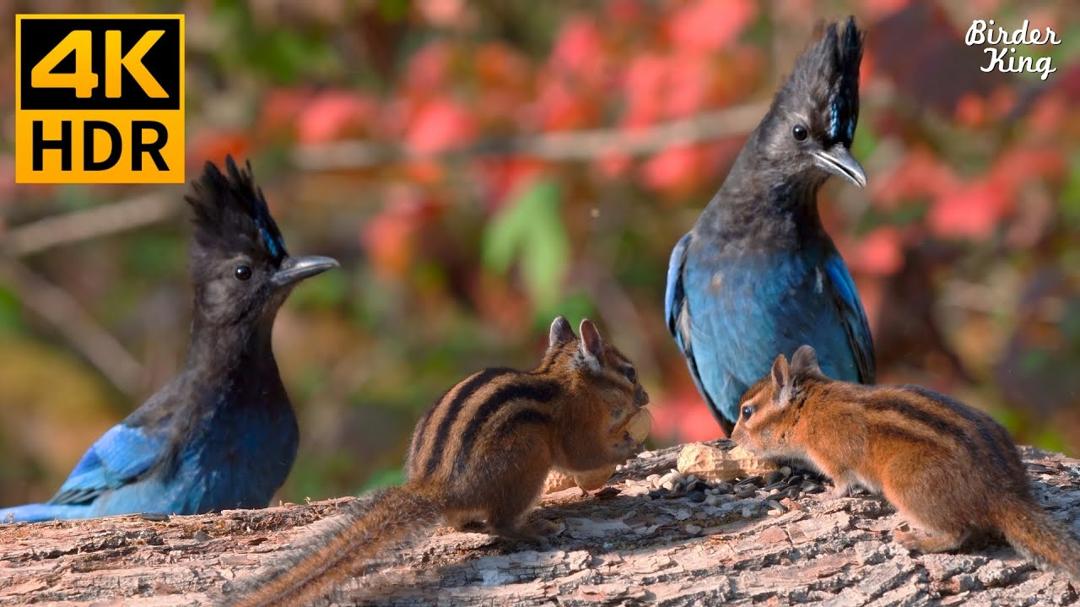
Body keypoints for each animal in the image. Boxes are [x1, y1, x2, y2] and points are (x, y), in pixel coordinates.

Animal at [227, 316, 650, 607]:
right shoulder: (574, 425)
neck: (563, 378)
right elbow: (583, 454)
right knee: (501, 522)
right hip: (528, 463)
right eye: (629, 372)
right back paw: (535, 530)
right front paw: (627, 447)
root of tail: (434, 488)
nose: (645, 397)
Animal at [731, 344, 1080, 582]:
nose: (733, 437)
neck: (811, 405)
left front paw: (824, 496)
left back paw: (914, 539)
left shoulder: (833, 459)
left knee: (958, 532)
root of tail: (1004, 494)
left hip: (904, 486)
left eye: (747, 412)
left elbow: (842, 484)